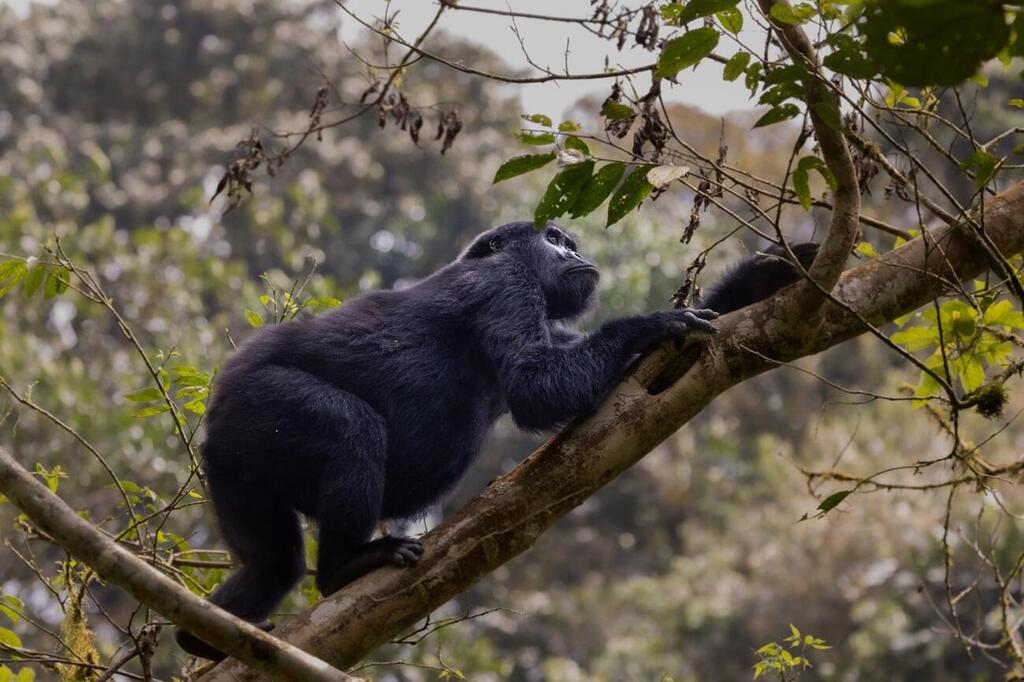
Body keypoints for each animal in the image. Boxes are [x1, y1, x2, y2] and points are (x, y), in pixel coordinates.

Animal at [176, 222, 816, 659]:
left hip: (234, 471)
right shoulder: (507, 287)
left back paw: (204, 638)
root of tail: (212, 412)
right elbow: (538, 385)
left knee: (274, 563)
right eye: (553, 238)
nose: (574, 251)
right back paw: (346, 566)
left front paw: (769, 273)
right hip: (260, 406)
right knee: (350, 430)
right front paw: (652, 322)